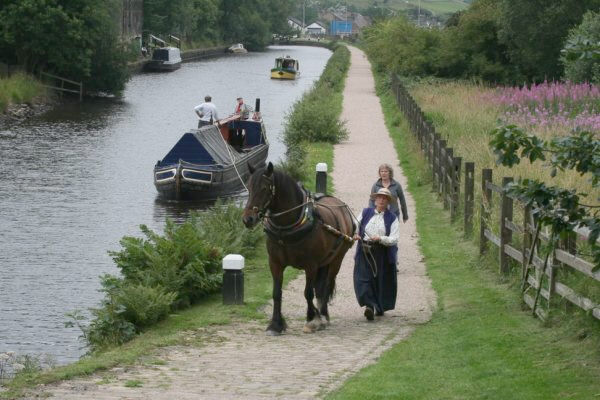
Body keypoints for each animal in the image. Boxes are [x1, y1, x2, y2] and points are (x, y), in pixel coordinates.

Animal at [243, 162, 356, 334]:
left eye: (264, 188)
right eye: (248, 187)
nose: (248, 219)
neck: (287, 228)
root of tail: (341, 207)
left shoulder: (311, 265)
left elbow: (308, 293)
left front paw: (312, 319)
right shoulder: (275, 263)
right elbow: (276, 293)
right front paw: (275, 324)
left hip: (336, 259)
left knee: (326, 286)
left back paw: (323, 315)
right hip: (324, 262)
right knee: (320, 288)